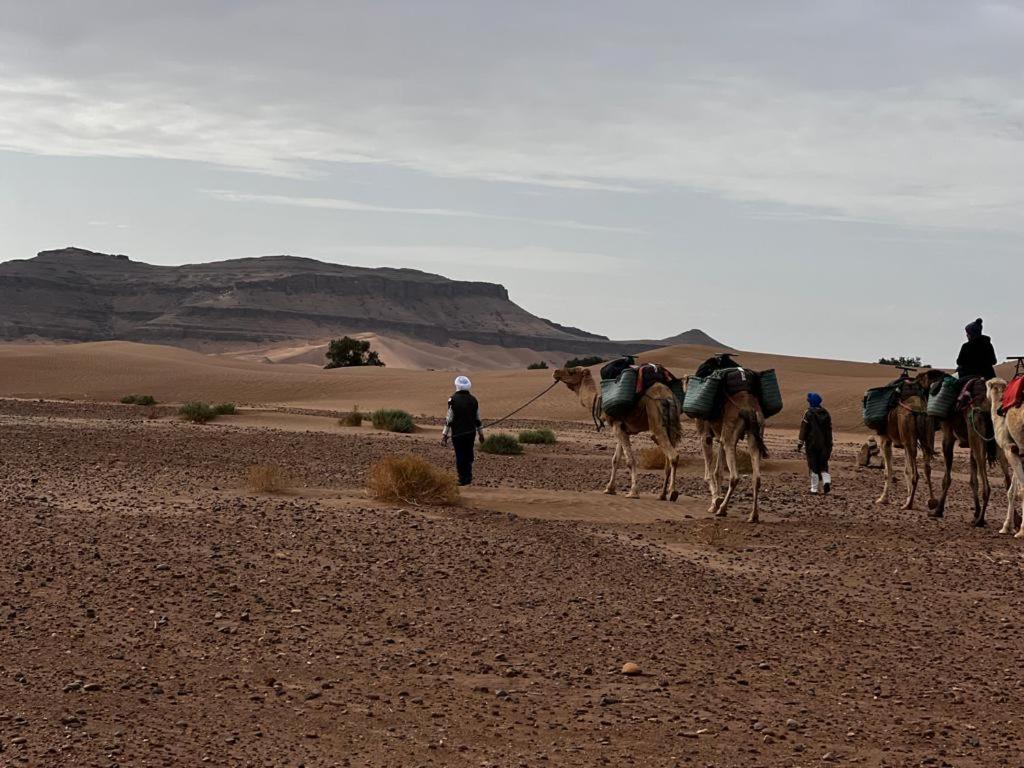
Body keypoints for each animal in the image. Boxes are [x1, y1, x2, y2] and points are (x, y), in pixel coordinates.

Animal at [553, 366, 682, 501]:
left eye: (571, 371)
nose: (556, 372)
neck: (598, 403)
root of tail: (668, 396)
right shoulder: (621, 428)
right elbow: (615, 459)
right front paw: (609, 489)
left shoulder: (616, 426)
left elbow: (630, 460)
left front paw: (633, 492)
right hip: (671, 425)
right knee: (668, 460)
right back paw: (662, 495)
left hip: (655, 416)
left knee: (672, 455)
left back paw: (673, 492)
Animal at [690, 356, 768, 523]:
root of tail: (748, 409)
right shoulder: (721, 435)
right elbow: (718, 471)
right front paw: (716, 500)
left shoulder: (705, 435)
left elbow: (709, 473)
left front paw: (715, 503)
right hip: (755, 433)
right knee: (757, 477)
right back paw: (753, 515)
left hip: (730, 436)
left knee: (735, 476)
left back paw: (722, 509)